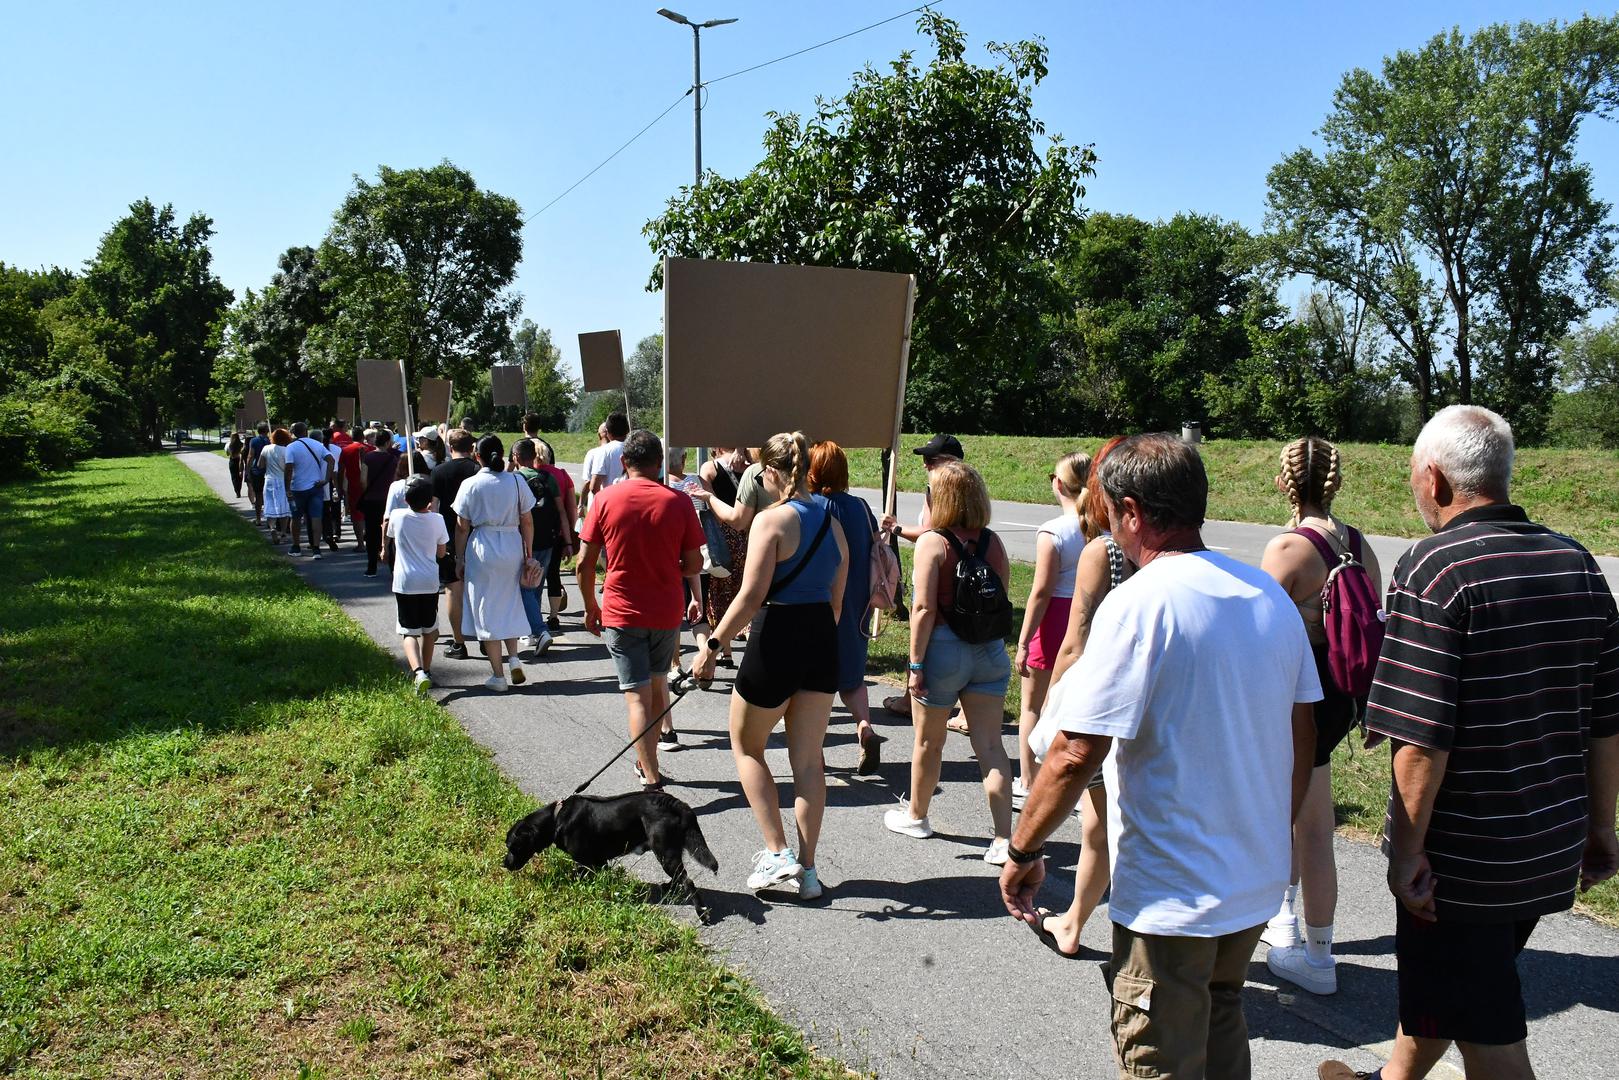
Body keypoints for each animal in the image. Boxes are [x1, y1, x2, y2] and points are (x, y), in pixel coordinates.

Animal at [504, 790, 719, 919]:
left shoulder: (585, 862)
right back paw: (668, 887)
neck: (556, 818)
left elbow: (576, 876)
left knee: (688, 881)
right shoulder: (600, 862)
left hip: (664, 852)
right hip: (668, 853)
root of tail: (676, 803)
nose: (504, 864)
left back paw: (701, 913)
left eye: (512, 847)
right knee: (679, 877)